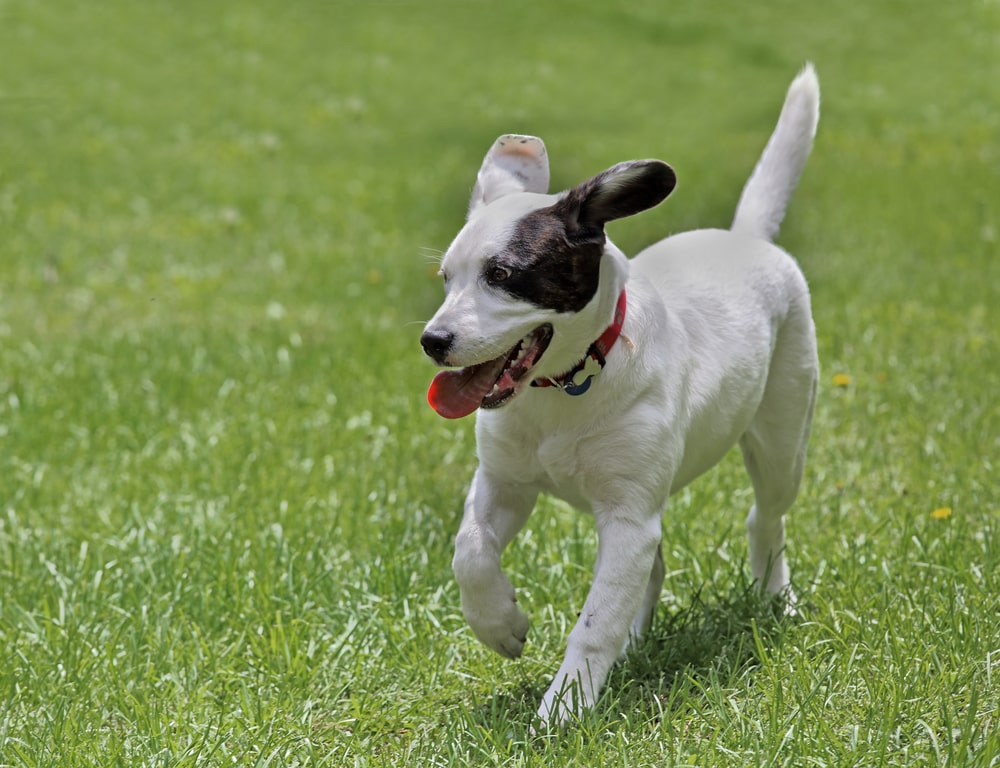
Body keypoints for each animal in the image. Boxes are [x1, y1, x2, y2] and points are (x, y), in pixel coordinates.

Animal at [422, 64, 820, 728]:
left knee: (765, 516)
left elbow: (593, 624)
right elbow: (469, 549)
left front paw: (563, 710)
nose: (432, 341)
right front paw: (501, 625)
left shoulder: (629, 517)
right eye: (446, 278)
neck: (563, 386)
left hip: (783, 437)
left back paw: (776, 597)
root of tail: (745, 239)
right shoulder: (504, 481)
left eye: (502, 275)